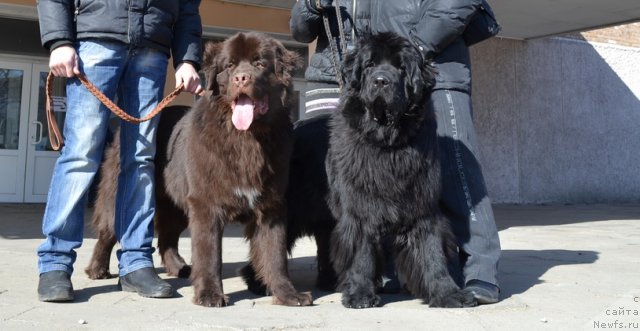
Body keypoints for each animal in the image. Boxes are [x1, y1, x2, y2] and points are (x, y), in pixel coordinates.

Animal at [85, 31, 312, 308]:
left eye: (260, 64)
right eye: (229, 65)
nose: (241, 78)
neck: (246, 139)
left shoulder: (271, 206)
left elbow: (275, 255)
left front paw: (288, 294)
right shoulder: (205, 203)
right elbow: (209, 253)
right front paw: (210, 295)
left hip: (175, 203)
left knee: (167, 238)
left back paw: (179, 268)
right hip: (122, 193)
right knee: (107, 232)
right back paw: (97, 269)